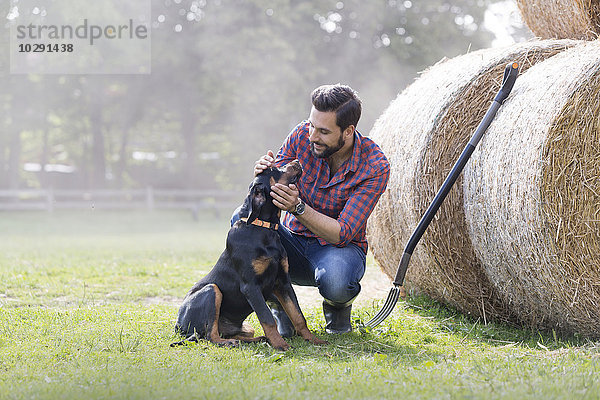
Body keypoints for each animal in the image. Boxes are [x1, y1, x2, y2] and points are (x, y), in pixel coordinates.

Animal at [171, 159, 326, 350]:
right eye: (273, 169)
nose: (297, 161)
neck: (263, 228)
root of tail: (178, 326)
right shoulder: (250, 286)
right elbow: (267, 319)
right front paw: (281, 345)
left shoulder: (283, 282)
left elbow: (298, 315)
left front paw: (313, 340)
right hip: (211, 291)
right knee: (210, 335)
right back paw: (230, 342)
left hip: (245, 326)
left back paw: (257, 339)